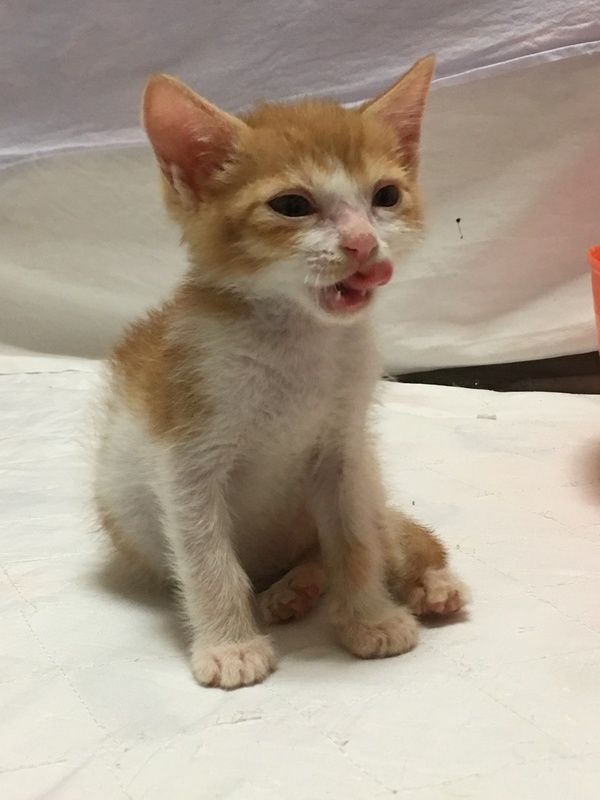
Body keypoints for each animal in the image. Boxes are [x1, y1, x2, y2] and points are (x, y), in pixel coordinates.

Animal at [94, 55, 469, 690]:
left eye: (386, 196)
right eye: (292, 206)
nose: (364, 243)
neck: (296, 339)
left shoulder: (344, 449)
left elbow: (356, 540)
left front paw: (368, 616)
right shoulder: (186, 450)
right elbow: (206, 556)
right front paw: (229, 645)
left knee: (390, 532)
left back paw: (425, 580)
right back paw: (293, 589)